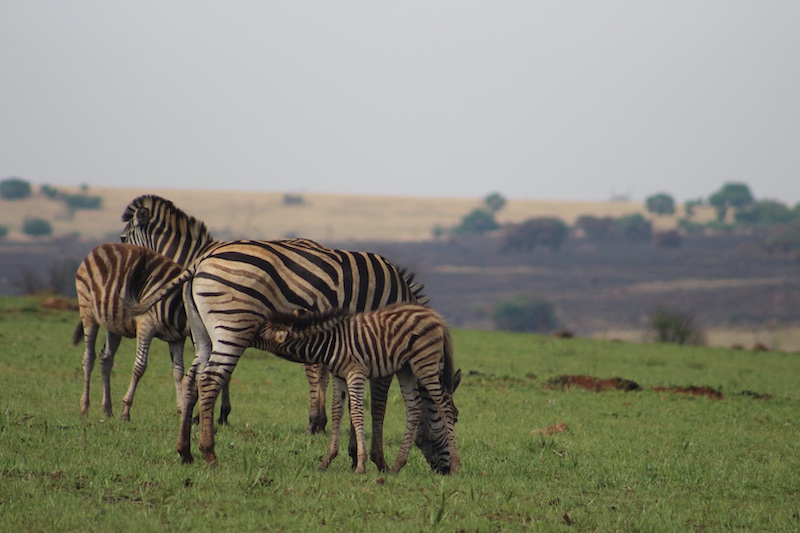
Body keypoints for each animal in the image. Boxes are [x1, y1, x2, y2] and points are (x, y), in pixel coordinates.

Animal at [73, 243, 189, 421]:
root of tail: (98, 248)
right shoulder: (146, 325)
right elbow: (140, 367)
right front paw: (125, 411)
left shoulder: (177, 338)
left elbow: (178, 371)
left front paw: (182, 409)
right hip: (87, 310)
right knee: (89, 357)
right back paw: (84, 408)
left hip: (113, 322)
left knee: (106, 358)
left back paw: (107, 410)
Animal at [256, 303, 461, 475]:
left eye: (260, 333)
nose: (249, 333)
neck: (330, 342)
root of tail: (435, 316)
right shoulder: (339, 376)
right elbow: (337, 412)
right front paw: (327, 461)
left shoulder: (356, 372)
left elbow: (356, 412)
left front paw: (360, 464)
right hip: (407, 369)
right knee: (415, 407)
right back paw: (397, 466)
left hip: (425, 363)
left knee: (442, 405)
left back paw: (455, 465)